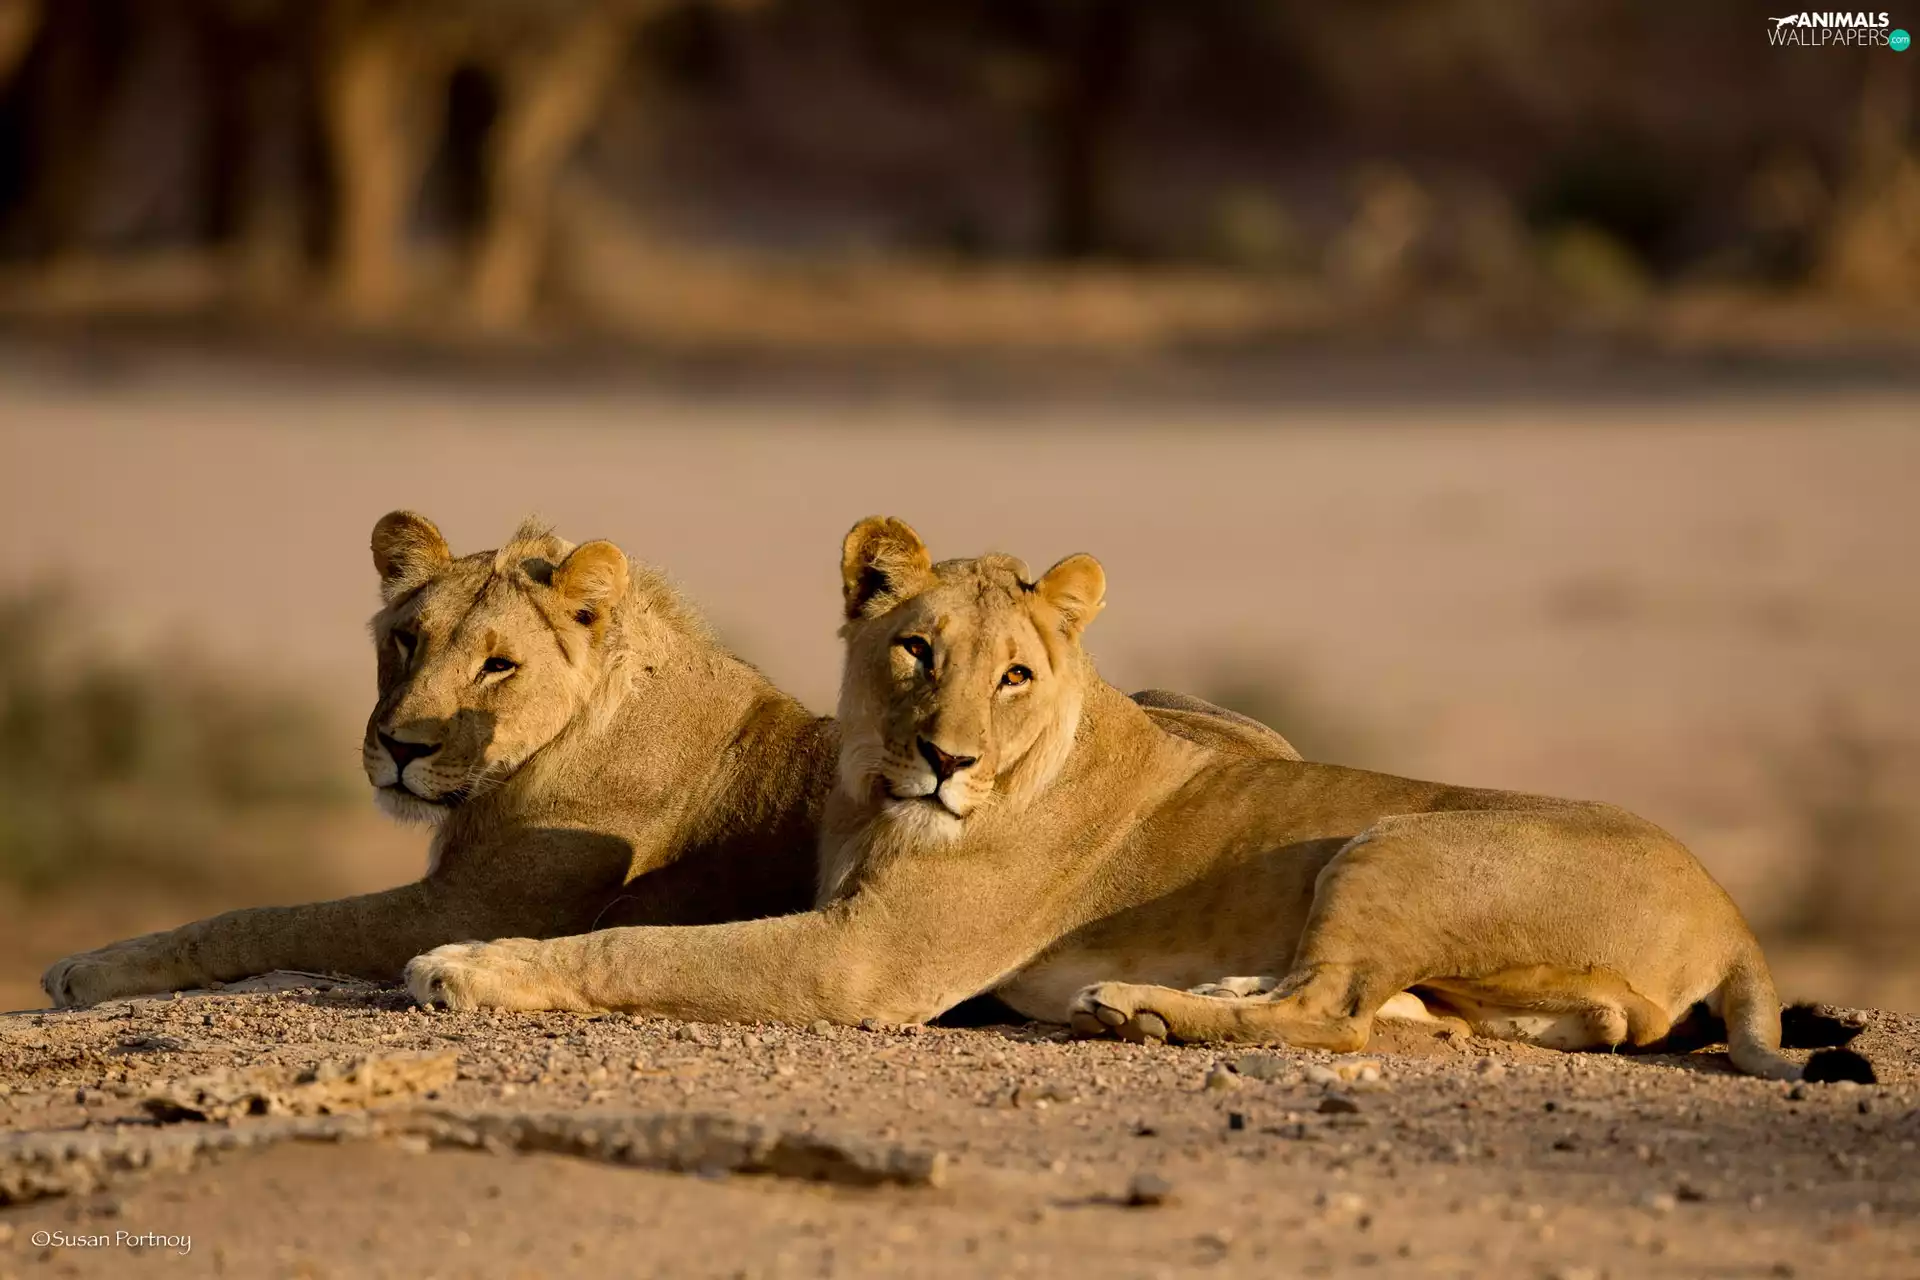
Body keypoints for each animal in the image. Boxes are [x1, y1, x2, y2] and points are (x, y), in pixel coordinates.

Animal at [43, 512, 1295, 1009]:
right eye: (406, 639)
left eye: (497, 664)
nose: (399, 746)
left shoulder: (465, 906)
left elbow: (255, 915)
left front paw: (93, 963)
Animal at [405, 516, 1870, 1083]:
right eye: (915, 650)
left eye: (1014, 672)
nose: (949, 761)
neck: (875, 791)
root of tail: (1733, 916)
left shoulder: (860, 964)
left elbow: (639, 945)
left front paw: (466, 964)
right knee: (1367, 1002)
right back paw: (1188, 993)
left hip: (1398, 836)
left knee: (1338, 1014)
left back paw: (1142, 1009)